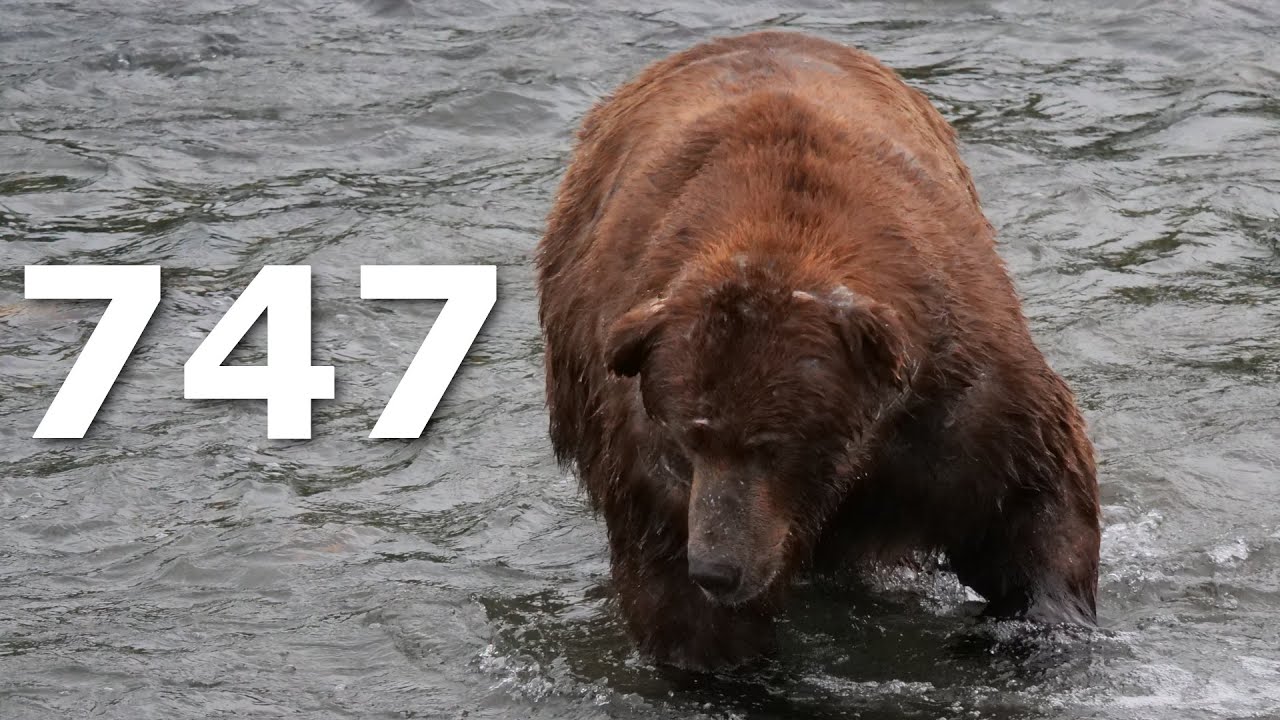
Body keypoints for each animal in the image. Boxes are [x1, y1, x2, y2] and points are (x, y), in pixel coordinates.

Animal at [536, 30, 1100, 671]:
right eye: (688, 440)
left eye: (772, 445)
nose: (716, 569)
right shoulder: (651, 462)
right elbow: (679, 606)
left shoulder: (958, 402)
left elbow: (1031, 503)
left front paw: (1032, 624)